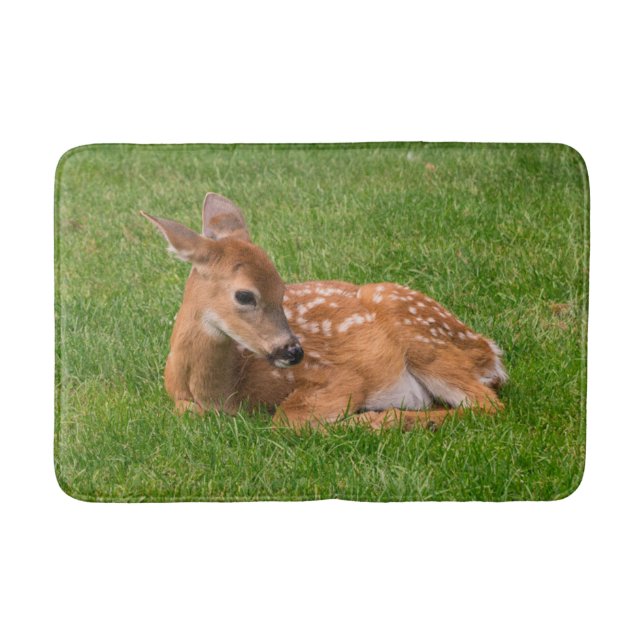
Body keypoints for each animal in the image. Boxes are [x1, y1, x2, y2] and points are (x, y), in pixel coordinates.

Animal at [140, 193, 507, 431]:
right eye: (244, 295)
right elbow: (187, 412)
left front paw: (363, 417)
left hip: (423, 338)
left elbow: (287, 419)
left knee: (488, 404)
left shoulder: (339, 377)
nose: (294, 351)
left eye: (282, 288)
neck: (223, 391)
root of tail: (489, 351)